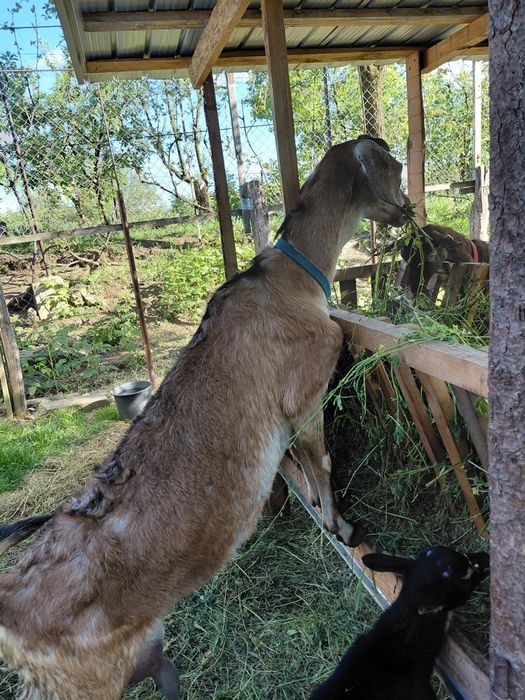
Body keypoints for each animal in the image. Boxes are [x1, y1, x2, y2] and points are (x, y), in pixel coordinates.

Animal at [0, 135, 407, 699]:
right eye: (394, 166)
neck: (293, 278)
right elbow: (322, 461)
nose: (408, 210)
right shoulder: (305, 391)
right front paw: (341, 527)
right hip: (80, 684)